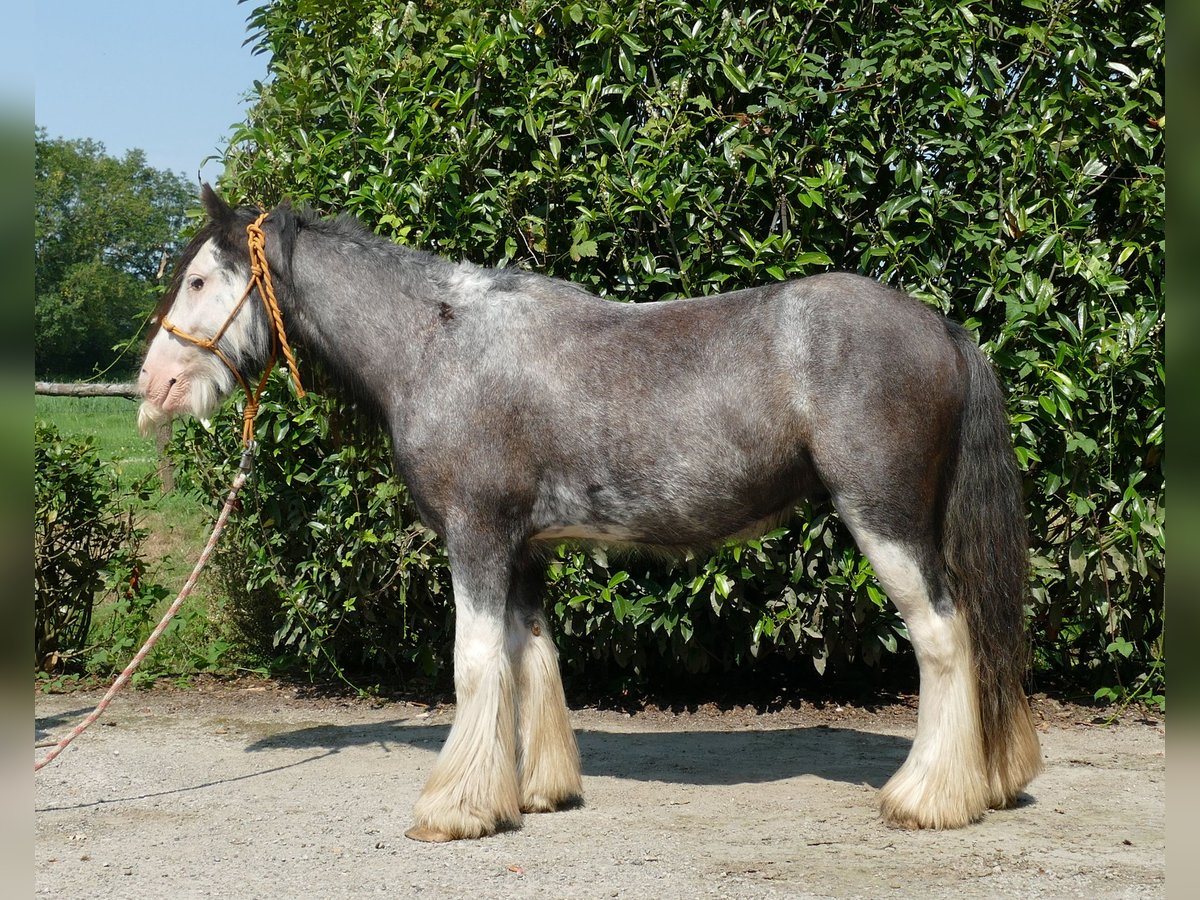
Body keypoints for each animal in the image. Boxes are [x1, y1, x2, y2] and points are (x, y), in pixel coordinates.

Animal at [138, 187, 1041, 844]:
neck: (438, 344)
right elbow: (533, 659)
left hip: (885, 522)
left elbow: (474, 665)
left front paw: (455, 809)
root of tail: (946, 330)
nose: (154, 389)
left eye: (198, 279)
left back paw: (928, 797)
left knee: (944, 639)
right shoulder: (524, 550)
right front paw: (535, 792)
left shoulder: (477, 537)